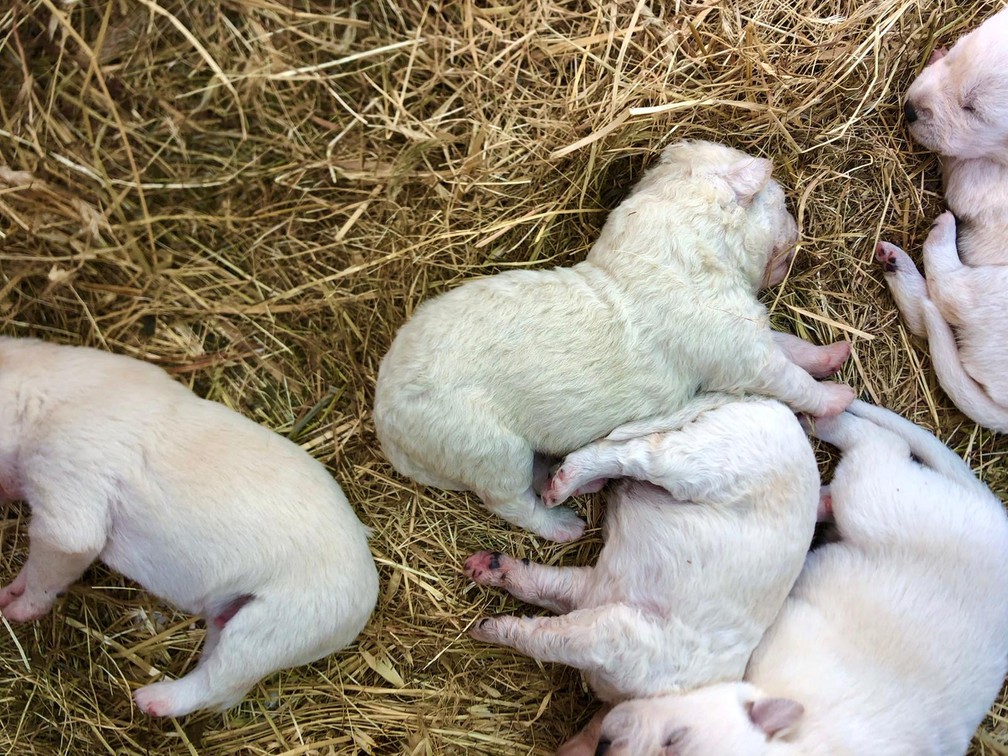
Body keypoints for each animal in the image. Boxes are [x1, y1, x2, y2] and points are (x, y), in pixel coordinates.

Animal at [0, 340, 379, 717]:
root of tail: (367, 600)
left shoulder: (67, 495)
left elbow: (50, 569)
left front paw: (12, 611)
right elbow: (33, 568)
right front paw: (8, 592)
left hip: (272, 628)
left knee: (220, 687)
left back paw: (150, 699)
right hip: (233, 618)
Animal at [374, 141, 854, 544]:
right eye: (780, 200)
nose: (797, 230)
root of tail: (384, 420)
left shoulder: (746, 330)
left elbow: (790, 346)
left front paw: (835, 353)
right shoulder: (740, 354)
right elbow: (791, 380)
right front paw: (837, 396)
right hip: (484, 447)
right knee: (511, 502)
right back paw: (564, 525)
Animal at [463, 397, 818, 721]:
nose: (477, 564)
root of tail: (771, 407)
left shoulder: (598, 595)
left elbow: (544, 593)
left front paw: (484, 573)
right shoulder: (625, 639)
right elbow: (550, 639)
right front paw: (483, 628)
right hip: (710, 459)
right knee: (635, 452)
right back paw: (559, 489)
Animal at [878, 8, 1008, 431]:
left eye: (973, 108)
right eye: (959, 52)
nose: (910, 109)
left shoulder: (982, 182)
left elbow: (961, 168)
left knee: (948, 294)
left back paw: (937, 234)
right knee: (929, 313)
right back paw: (895, 263)